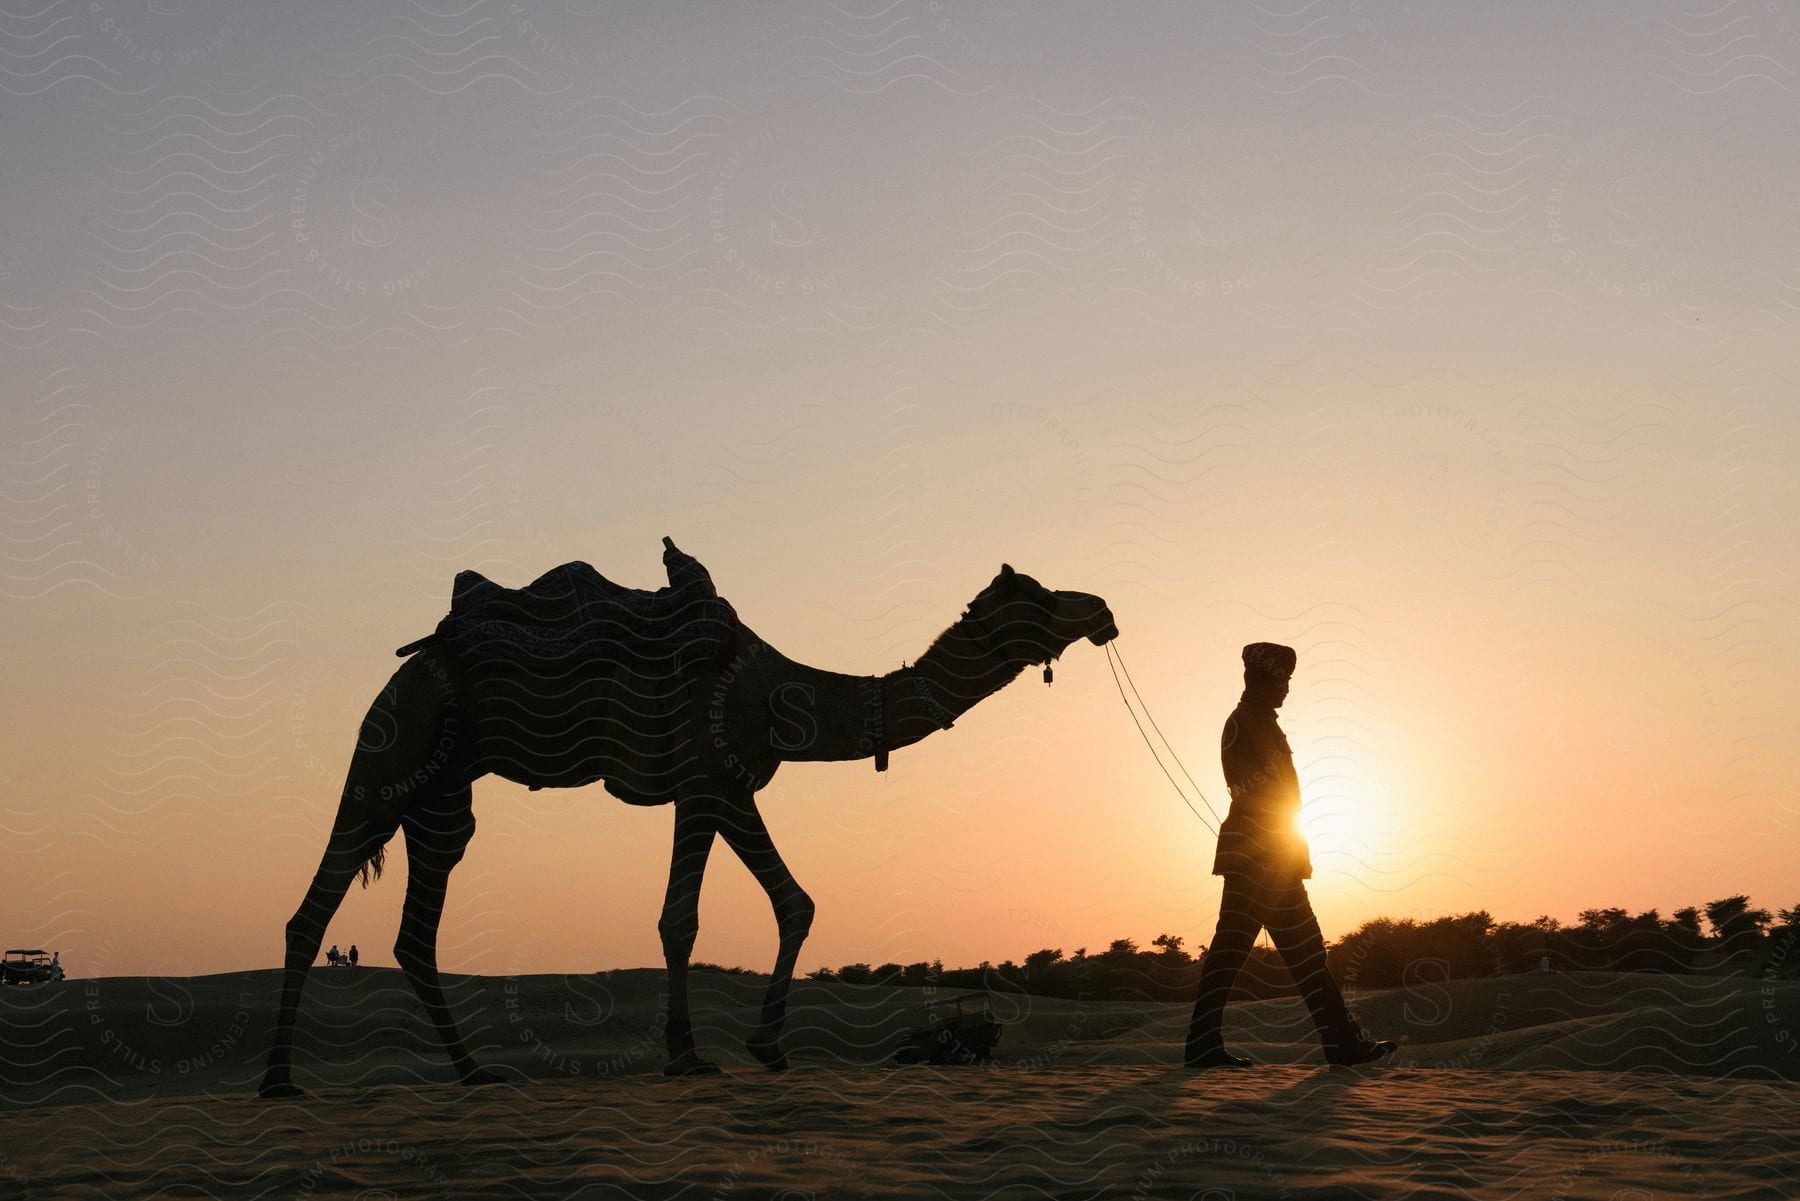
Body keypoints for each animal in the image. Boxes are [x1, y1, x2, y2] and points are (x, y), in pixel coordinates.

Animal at [261, 547, 1116, 1101]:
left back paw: (473, 1072)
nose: (1103, 607)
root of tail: (414, 658)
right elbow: (681, 918)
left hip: (441, 799)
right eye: (1040, 595)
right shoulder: (703, 783)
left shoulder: (735, 787)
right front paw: (688, 1055)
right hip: (388, 754)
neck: (784, 694)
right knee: (314, 909)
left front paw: (767, 1046)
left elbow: (795, 900)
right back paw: (278, 1078)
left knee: (414, 931)